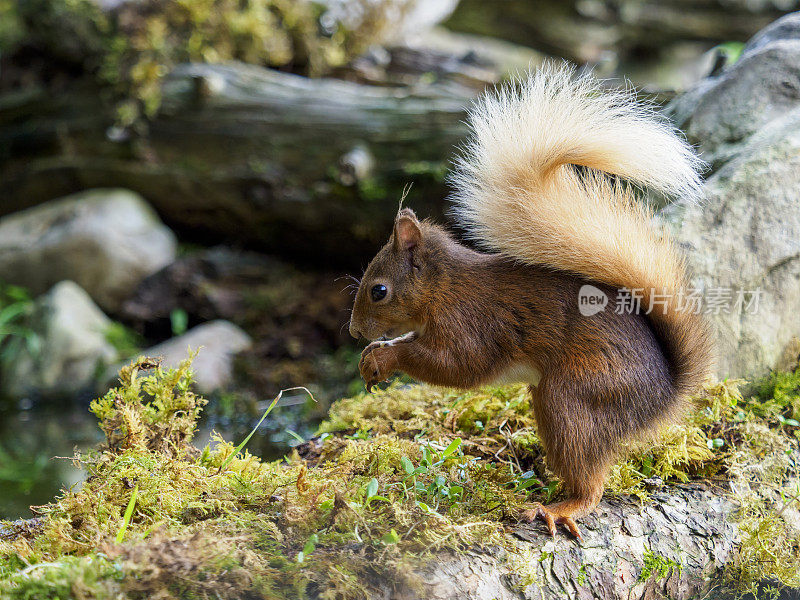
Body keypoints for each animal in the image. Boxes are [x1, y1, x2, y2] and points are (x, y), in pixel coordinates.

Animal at [346, 65, 716, 540]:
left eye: (379, 290)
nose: (355, 331)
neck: (444, 287)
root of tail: (665, 393)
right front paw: (372, 357)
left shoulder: (472, 323)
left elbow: (457, 365)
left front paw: (383, 357)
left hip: (573, 399)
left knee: (592, 484)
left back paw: (560, 507)